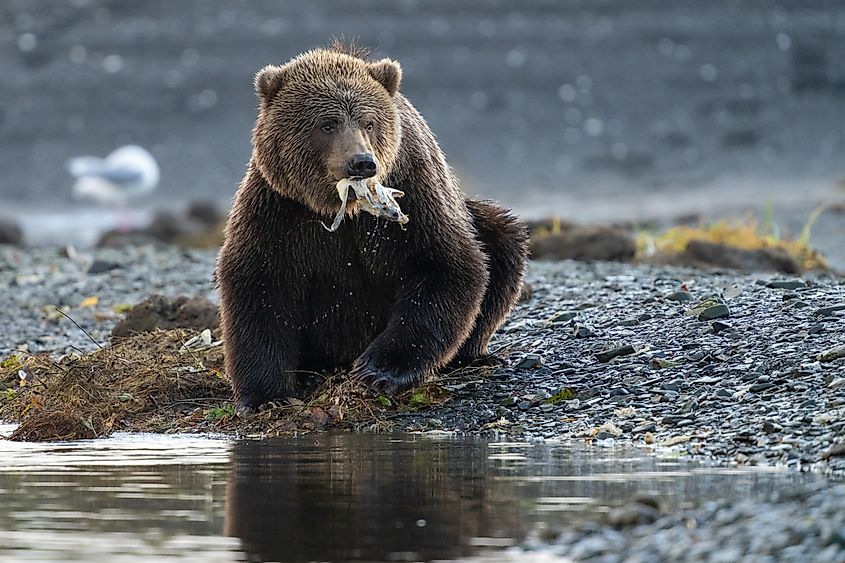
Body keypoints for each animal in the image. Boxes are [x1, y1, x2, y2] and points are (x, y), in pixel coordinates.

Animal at [216, 43, 528, 411]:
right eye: (327, 124)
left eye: (368, 122)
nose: (362, 162)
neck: (343, 207)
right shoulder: (279, 210)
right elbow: (259, 285)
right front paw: (268, 395)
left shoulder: (413, 191)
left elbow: (445, 264)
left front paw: (379, 371)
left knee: (502, 240)